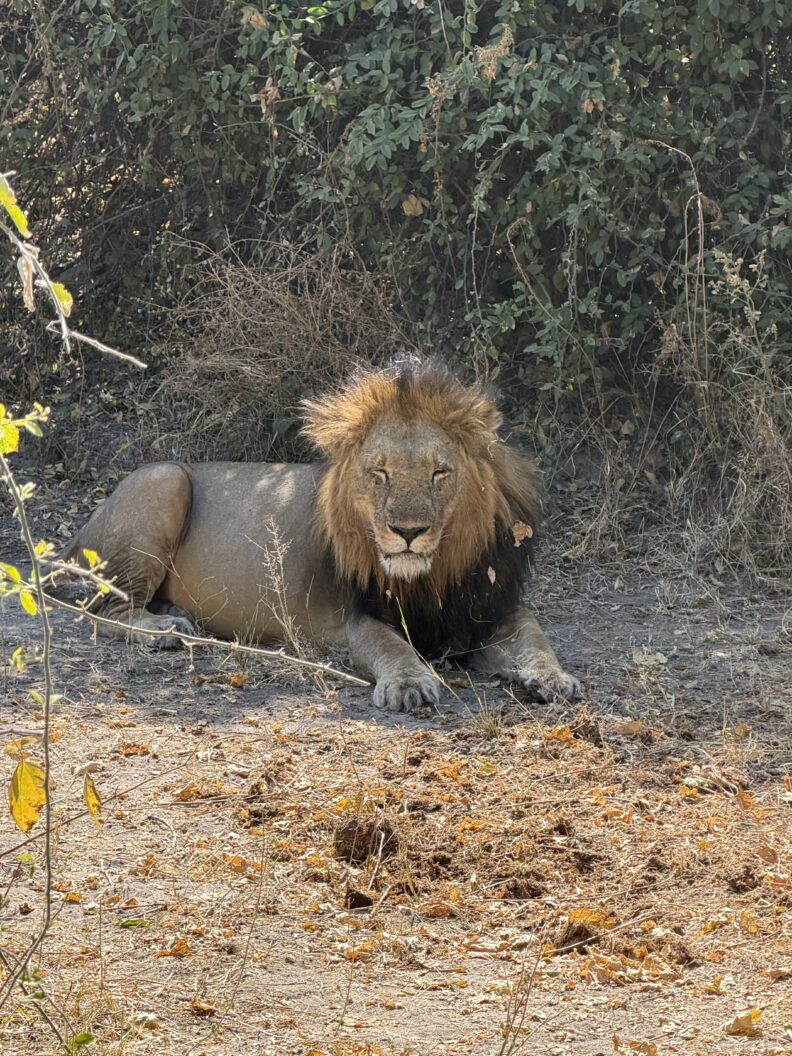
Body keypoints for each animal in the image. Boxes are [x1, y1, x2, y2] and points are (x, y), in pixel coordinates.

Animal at [63, 364, 579, 710]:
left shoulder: (490, 607)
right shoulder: (357, 616)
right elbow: (392, 647)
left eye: (440, 472)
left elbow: (536, 639)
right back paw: (164, 630)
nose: (408, 532)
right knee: (103, 612)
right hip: (164, 479)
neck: (430, 576)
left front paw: (555, 678)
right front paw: (409, 684)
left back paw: (172, 614)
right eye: (380, 473)